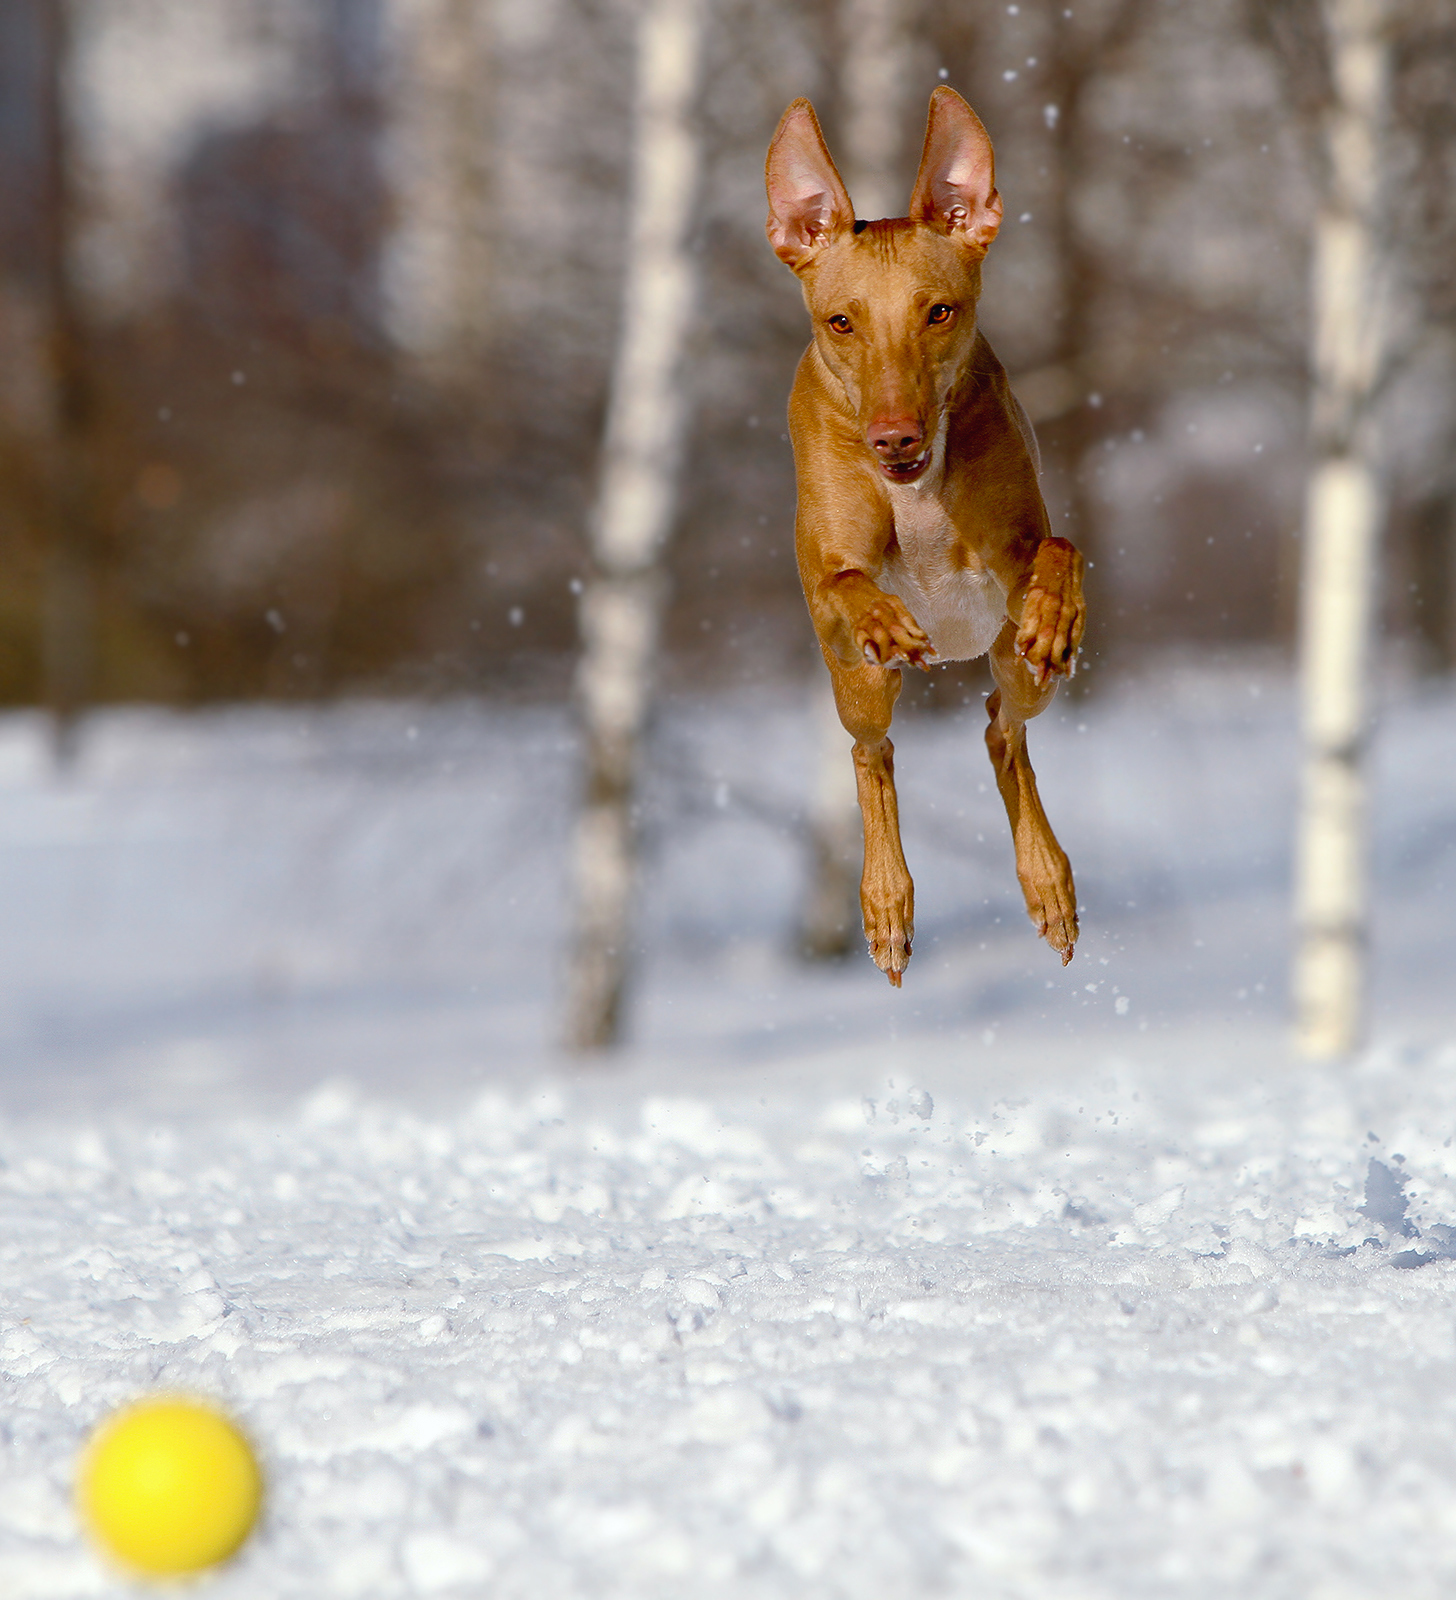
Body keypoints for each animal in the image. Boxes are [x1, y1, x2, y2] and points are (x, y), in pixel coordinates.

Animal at [768, 90, 1088, 985]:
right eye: (841, 322)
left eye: (939, 311)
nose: (894, 438)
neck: (915, 495)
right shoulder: (830, 586)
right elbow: (847, 582)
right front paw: (883, 617)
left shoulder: (1013, 555)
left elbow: (1059, 550)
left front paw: (1056, 615)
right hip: (857, 687)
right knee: (871, 754)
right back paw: (885, 902)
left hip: (1014, 668)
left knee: (1001, 724)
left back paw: (1047, 880)